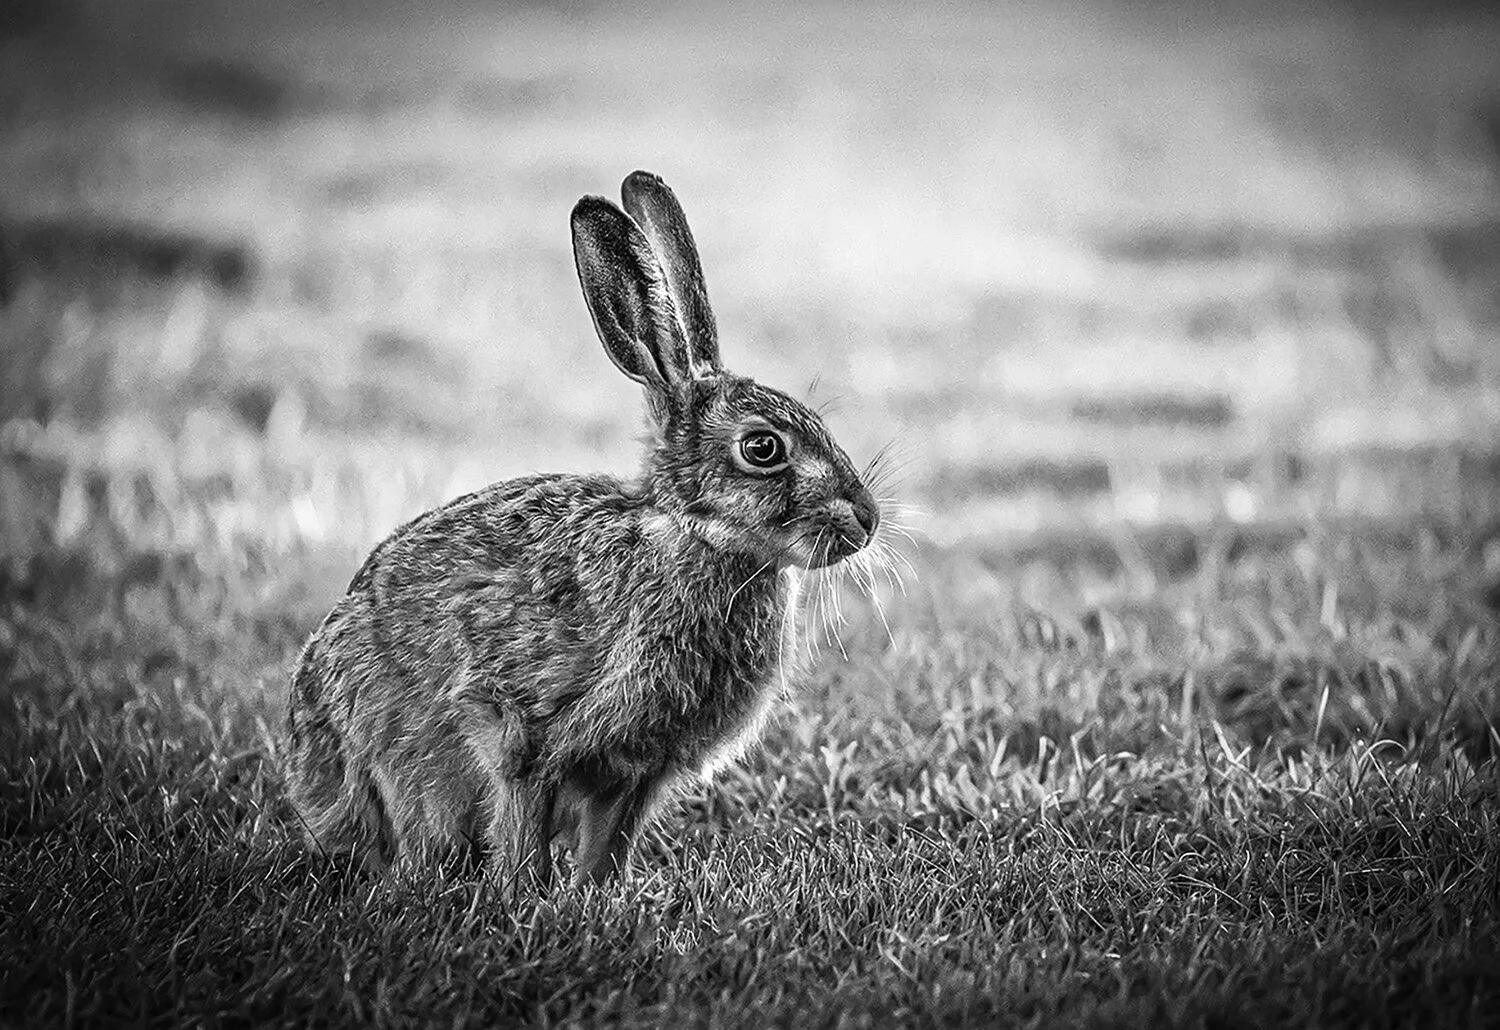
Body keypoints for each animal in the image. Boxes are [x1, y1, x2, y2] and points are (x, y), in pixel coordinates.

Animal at [285, 170, 880, 892]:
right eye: (763, 449)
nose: (867, 520)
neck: (691, 538)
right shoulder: (518, 723)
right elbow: (522, 812)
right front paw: (526, 895)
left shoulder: (642, 769)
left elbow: (610, 842)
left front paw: (599, 895)